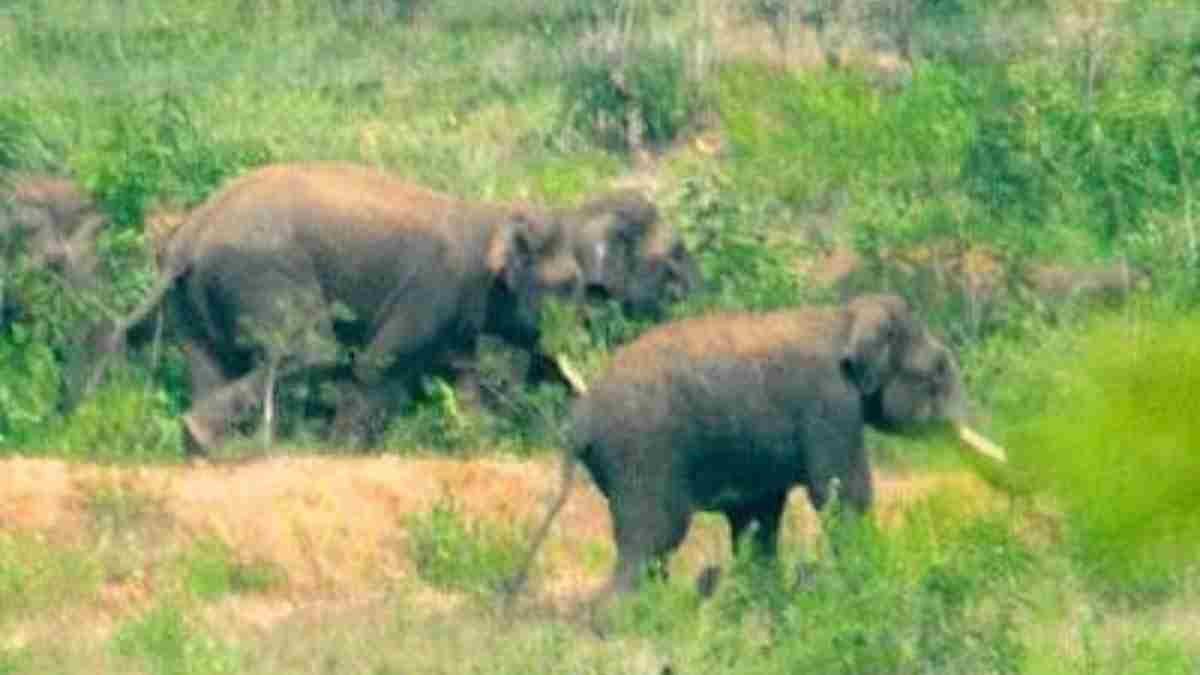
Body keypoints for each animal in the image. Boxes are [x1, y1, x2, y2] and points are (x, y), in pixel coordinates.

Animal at [90, 161, 585, 453]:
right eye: (568, 285)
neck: (492, 215)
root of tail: (187, 237)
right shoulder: (432, 289)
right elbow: (376, 365)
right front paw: (341, 452)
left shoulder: (456, 312)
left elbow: (459, 375)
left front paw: (477, 445)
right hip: (264, 271)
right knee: (311, 353)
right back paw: (205, 438)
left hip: (191, 300)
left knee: (211, 363)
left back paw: (205, 446)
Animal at [513, 294, 1006, 595]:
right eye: (939, 370)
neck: (844, 316)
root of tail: (579, 420)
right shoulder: (828, 404)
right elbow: (842, 494)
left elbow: (757, 517)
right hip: (643, 455)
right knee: (653, 540)